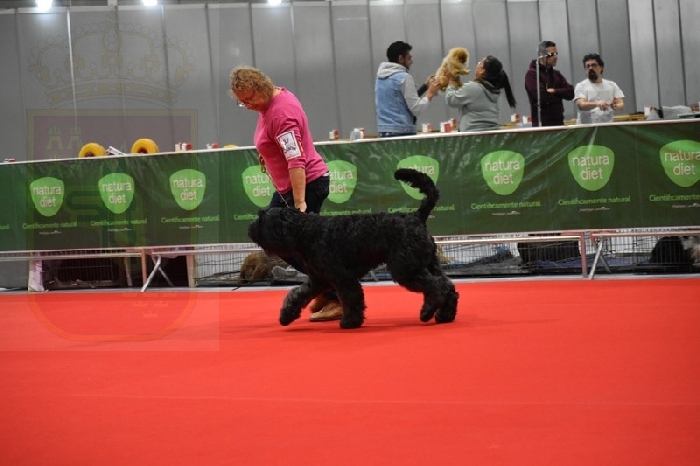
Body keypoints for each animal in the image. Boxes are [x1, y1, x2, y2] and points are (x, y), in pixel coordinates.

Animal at [248, 168, 459, 329]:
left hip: (406, 269)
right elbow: (298, 294)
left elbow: (352, 298)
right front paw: (286, 315)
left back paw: (427, 311)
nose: (250, 229)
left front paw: (350, 321)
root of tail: (416, 217)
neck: (306, 231)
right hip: (428, 264)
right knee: (447, 286)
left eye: (262, 218)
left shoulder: (342, 277)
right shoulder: (318, 279)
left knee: (436, 287)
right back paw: (445, 315)